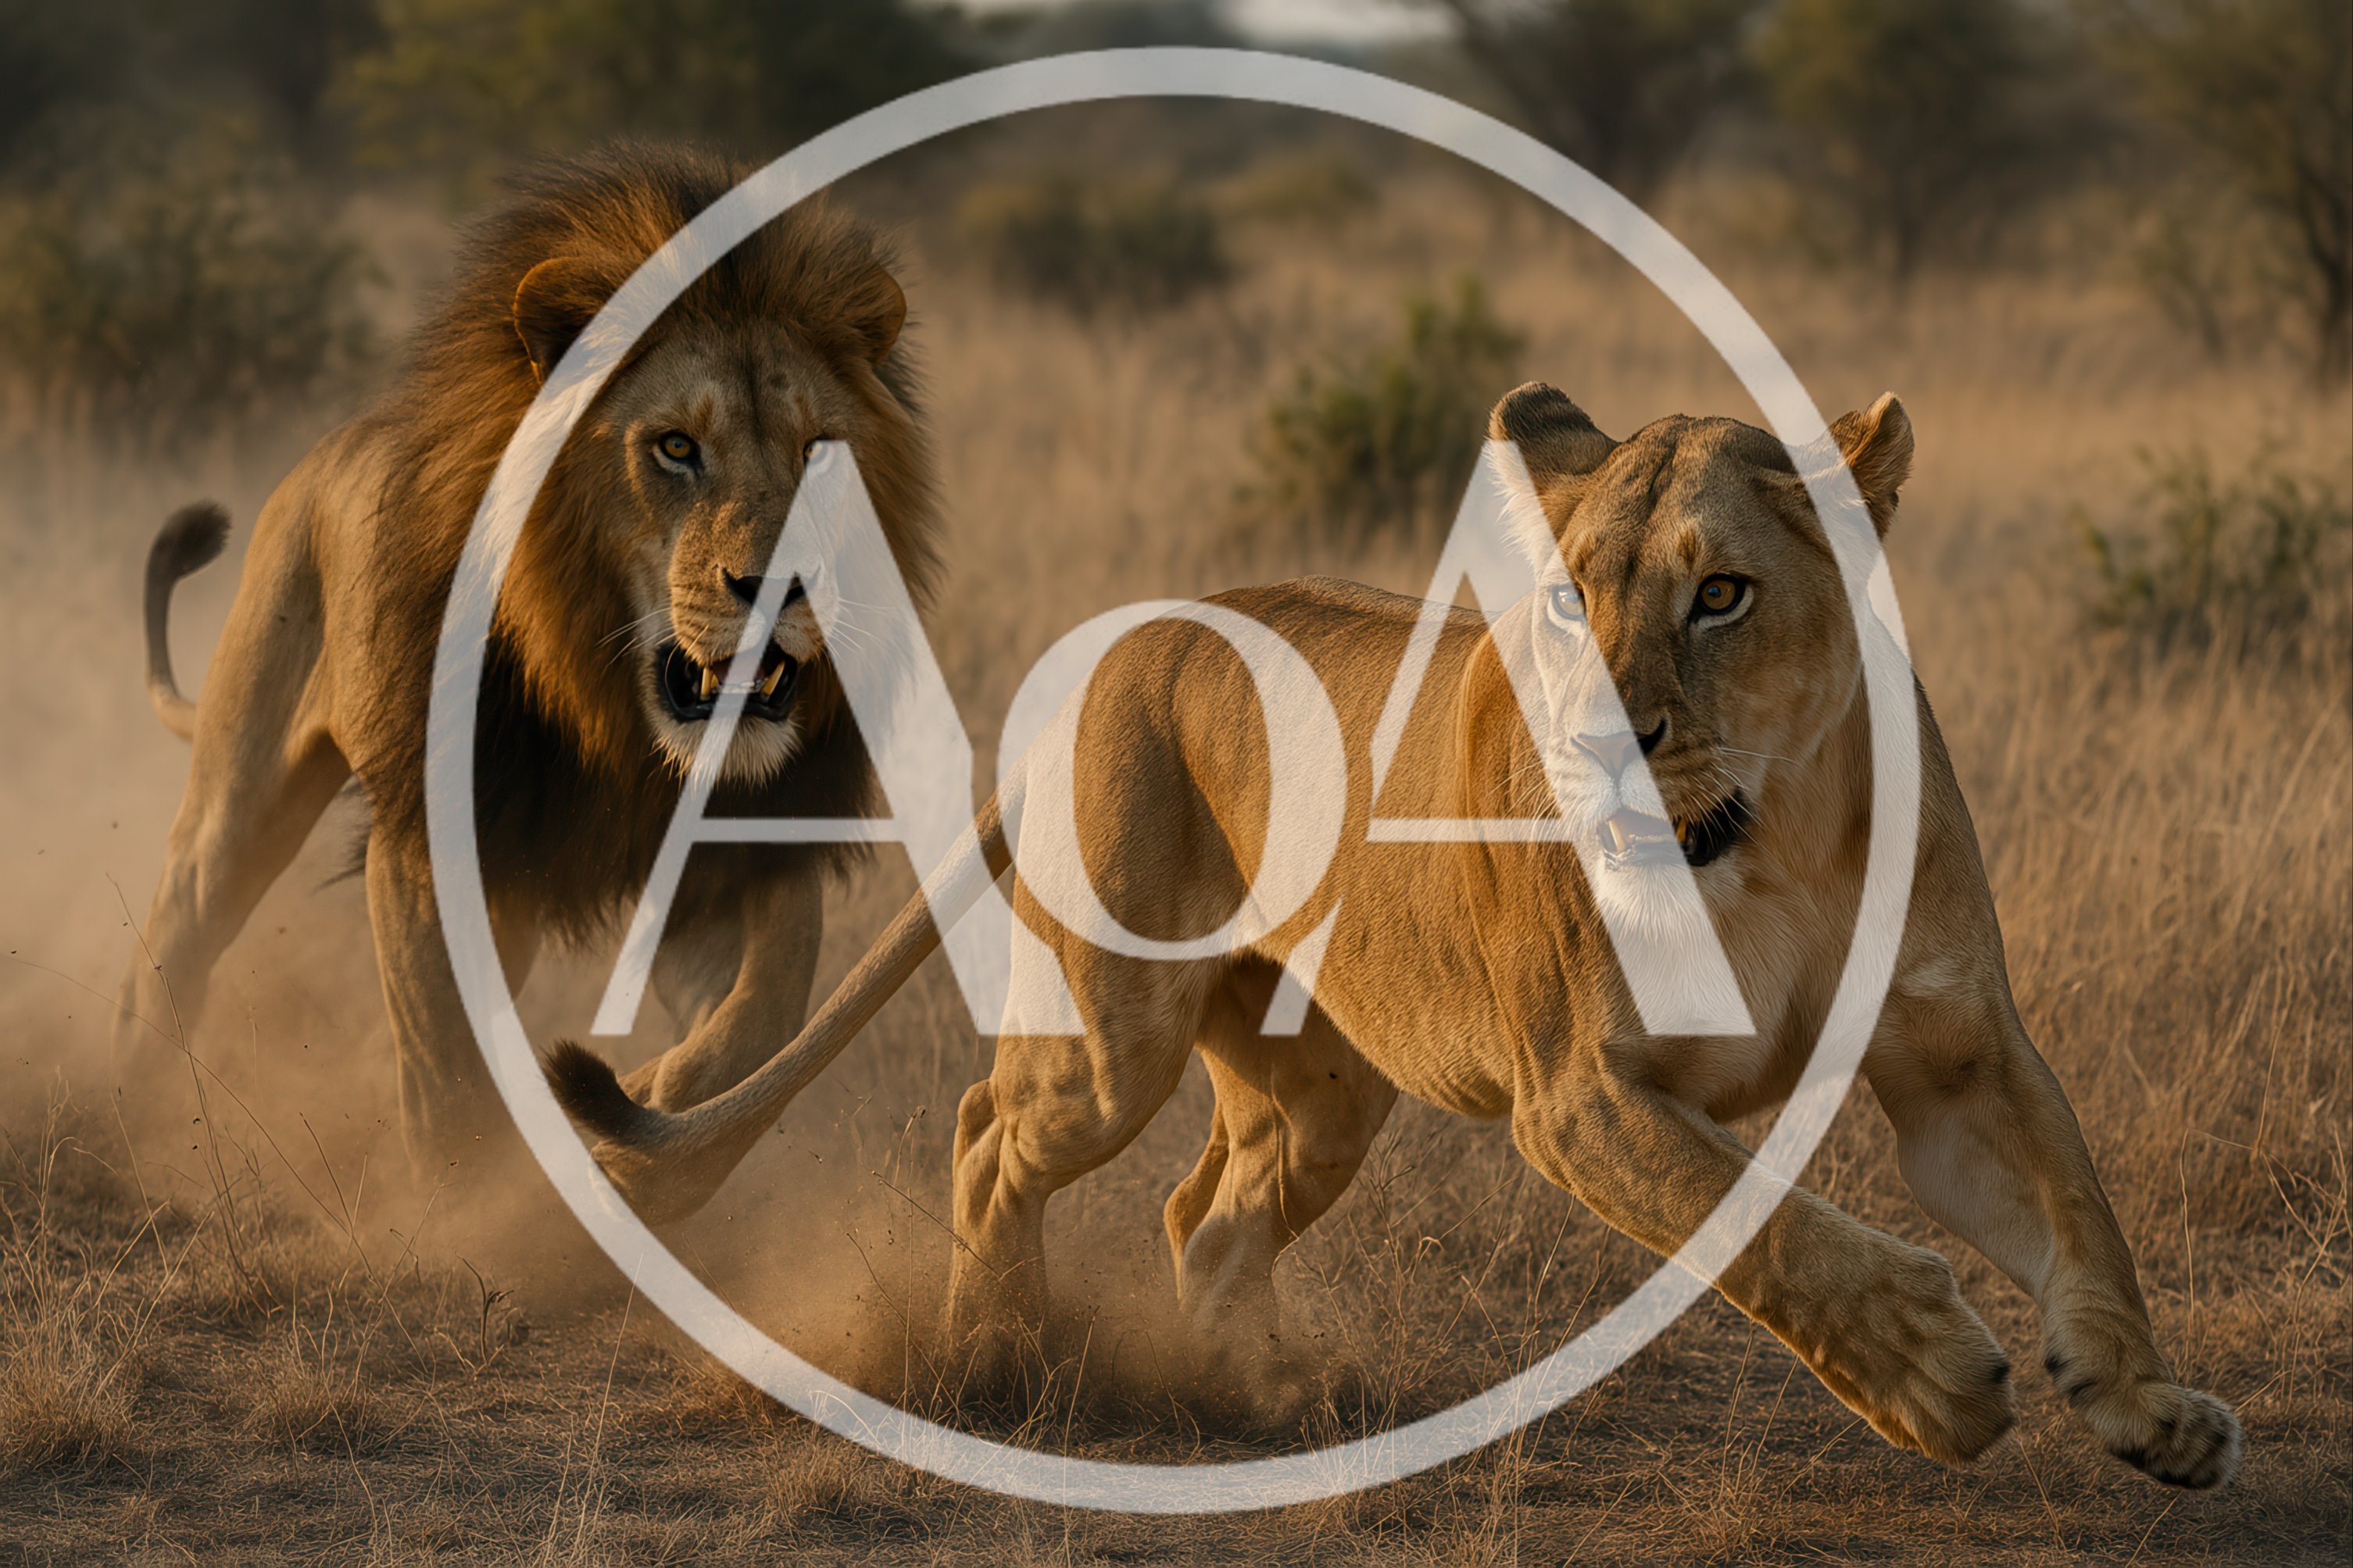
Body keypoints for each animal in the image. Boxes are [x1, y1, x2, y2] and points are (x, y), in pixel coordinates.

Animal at [122, 143, 937, 1175]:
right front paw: (474, 1202)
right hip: (240, 798)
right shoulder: (434, 846)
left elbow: (763, 1015)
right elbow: (445, 1072)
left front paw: (646, 1111)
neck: (620, 723)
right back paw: (131, 1125)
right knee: (172, 950)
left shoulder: (735, 859)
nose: (787, 585)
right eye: (676, 447)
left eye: (816, 451)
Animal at [543, 383, 2240, 1488]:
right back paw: (995, 1357)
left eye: (1721, 596)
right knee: (989, 1128)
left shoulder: (1959, 1057)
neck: (1771, 832)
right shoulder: (1583, 1093)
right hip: (1117, 1033)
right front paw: (1933, 1378)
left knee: (1203, 1212)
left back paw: (1261, 1391)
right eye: (1562, 603)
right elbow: (1774, 1231)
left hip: (1321, 1090)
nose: (1600, 746)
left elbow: (2078, 1215)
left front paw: (2154, 1410)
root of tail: (1125, 631)